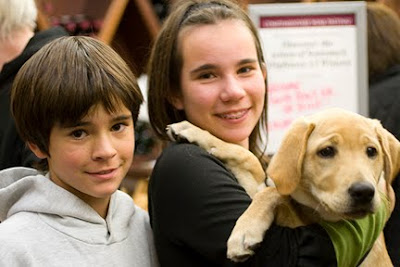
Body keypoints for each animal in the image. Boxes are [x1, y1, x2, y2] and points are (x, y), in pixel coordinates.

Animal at [167, 108, 398, 267]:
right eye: (326, 151)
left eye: (372, 151)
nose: (364, 192)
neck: (312, 210)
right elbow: (249, 159)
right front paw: (192, 131)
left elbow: (274, 192)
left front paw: (245, 231)